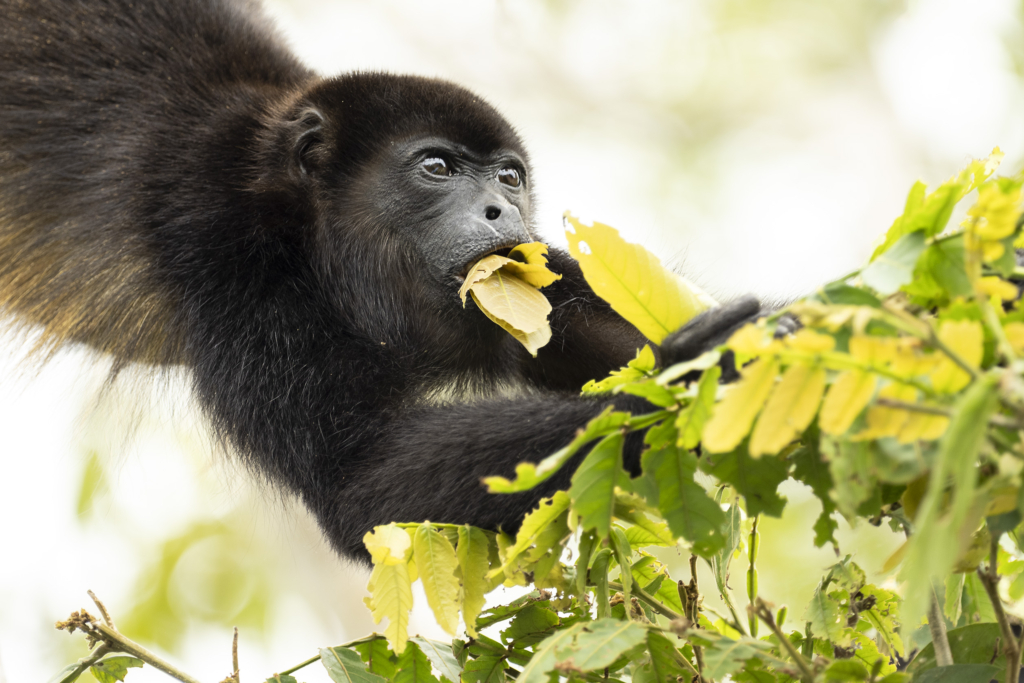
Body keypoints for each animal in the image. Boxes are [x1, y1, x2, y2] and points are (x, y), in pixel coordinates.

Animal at [0, 0, 761, 561]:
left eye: (509, 176)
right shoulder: (233, 261)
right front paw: (691, 373)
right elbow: (361, 481)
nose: (504, 209)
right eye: (438, 168)